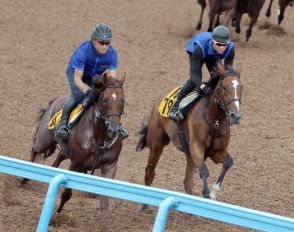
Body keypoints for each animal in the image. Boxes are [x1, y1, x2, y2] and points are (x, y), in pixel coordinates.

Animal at [21, 73, 125, 231]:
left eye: (122, 101)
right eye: (104, 100)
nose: (113, 130)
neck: (98, 137)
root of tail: (54, 101)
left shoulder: (110, 166)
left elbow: (104, 201)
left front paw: (104, 227)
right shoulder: (76, 164)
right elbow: (66, 194)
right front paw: (58, 213)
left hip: (65, 151)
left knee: (57, 158)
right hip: (43, 140)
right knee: (34, 150)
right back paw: (24, 178)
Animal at [137, 62, 242, 204]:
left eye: (241, 88)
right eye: (224, 88)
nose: (235, 116)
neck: (214, 121)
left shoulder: (217, 152)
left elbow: (228, 162)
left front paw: (213, 193)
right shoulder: (196, 147)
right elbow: (204, 171)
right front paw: (206, 194)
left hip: (188, 154)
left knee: (187, 181)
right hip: (156, 144)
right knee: (150, 171)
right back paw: (145, 203)